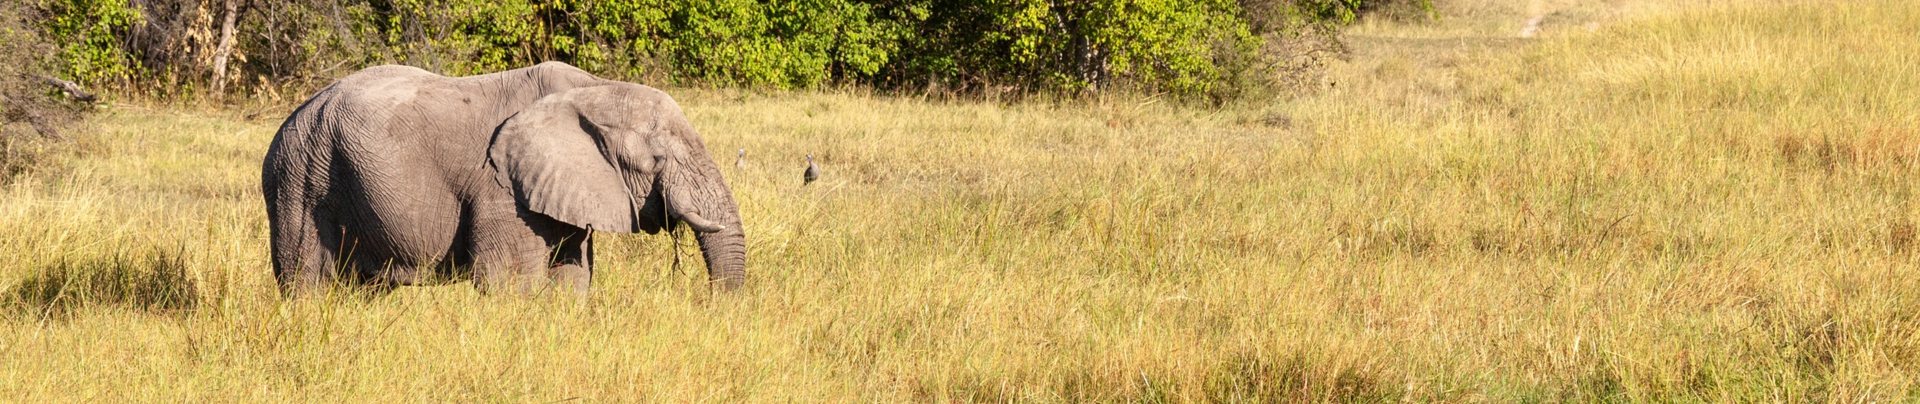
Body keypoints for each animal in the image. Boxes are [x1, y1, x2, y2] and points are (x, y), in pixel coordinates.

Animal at [261, 62, 746, 296]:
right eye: (657, 160)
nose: (712, 307)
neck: (595, 87)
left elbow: (572, 277)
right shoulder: (502, 189)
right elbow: (512, 283)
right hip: (301, 180)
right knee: (306, 283)